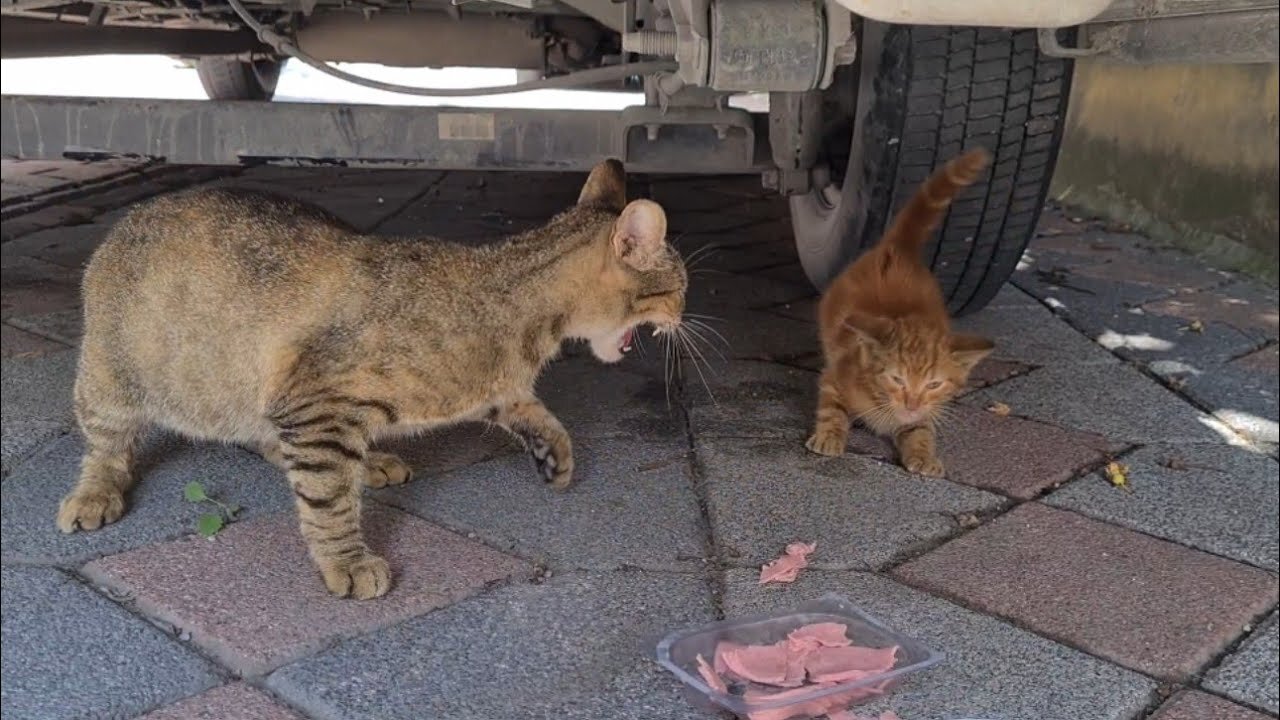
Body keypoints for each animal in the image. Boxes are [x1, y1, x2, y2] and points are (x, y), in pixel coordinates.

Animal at [58, 159, 686, 597]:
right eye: (679, 285)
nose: (685, 314)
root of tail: (127, 220)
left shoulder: (484, 390)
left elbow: (531, 412)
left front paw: (554, 452)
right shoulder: (315, 406)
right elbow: (327, 499)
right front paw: (347, 561)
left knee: (265, 434)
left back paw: (370, 460)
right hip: (112, 382)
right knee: (106, 447)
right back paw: (94, 492)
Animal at [803, 147, 993, 474]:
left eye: (933, 384)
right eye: (897, 379)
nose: (912, 404)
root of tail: (898, 250)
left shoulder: (923, 413)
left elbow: (920, 431)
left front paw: (924, 456)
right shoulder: (834, 376)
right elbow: (832, 409)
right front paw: (829, 437)